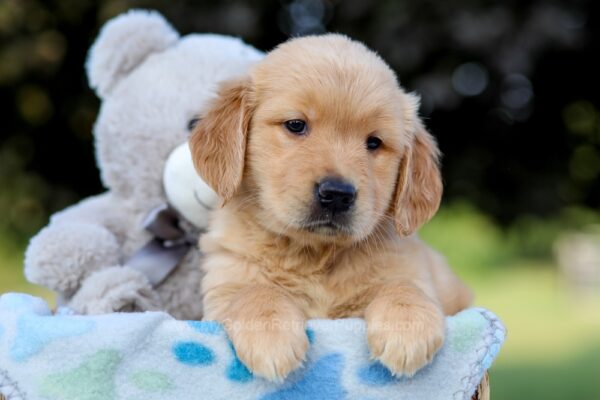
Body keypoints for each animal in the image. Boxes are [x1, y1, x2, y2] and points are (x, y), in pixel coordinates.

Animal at [190, 33, 472, 382]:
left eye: (374, 143)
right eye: (295, 125)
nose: (337, 194)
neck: (315, 256)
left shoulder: (413, 269)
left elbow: (403, 285)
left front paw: (407, 327)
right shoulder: (224, 282)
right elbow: (253, 291)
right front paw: (271, 336)